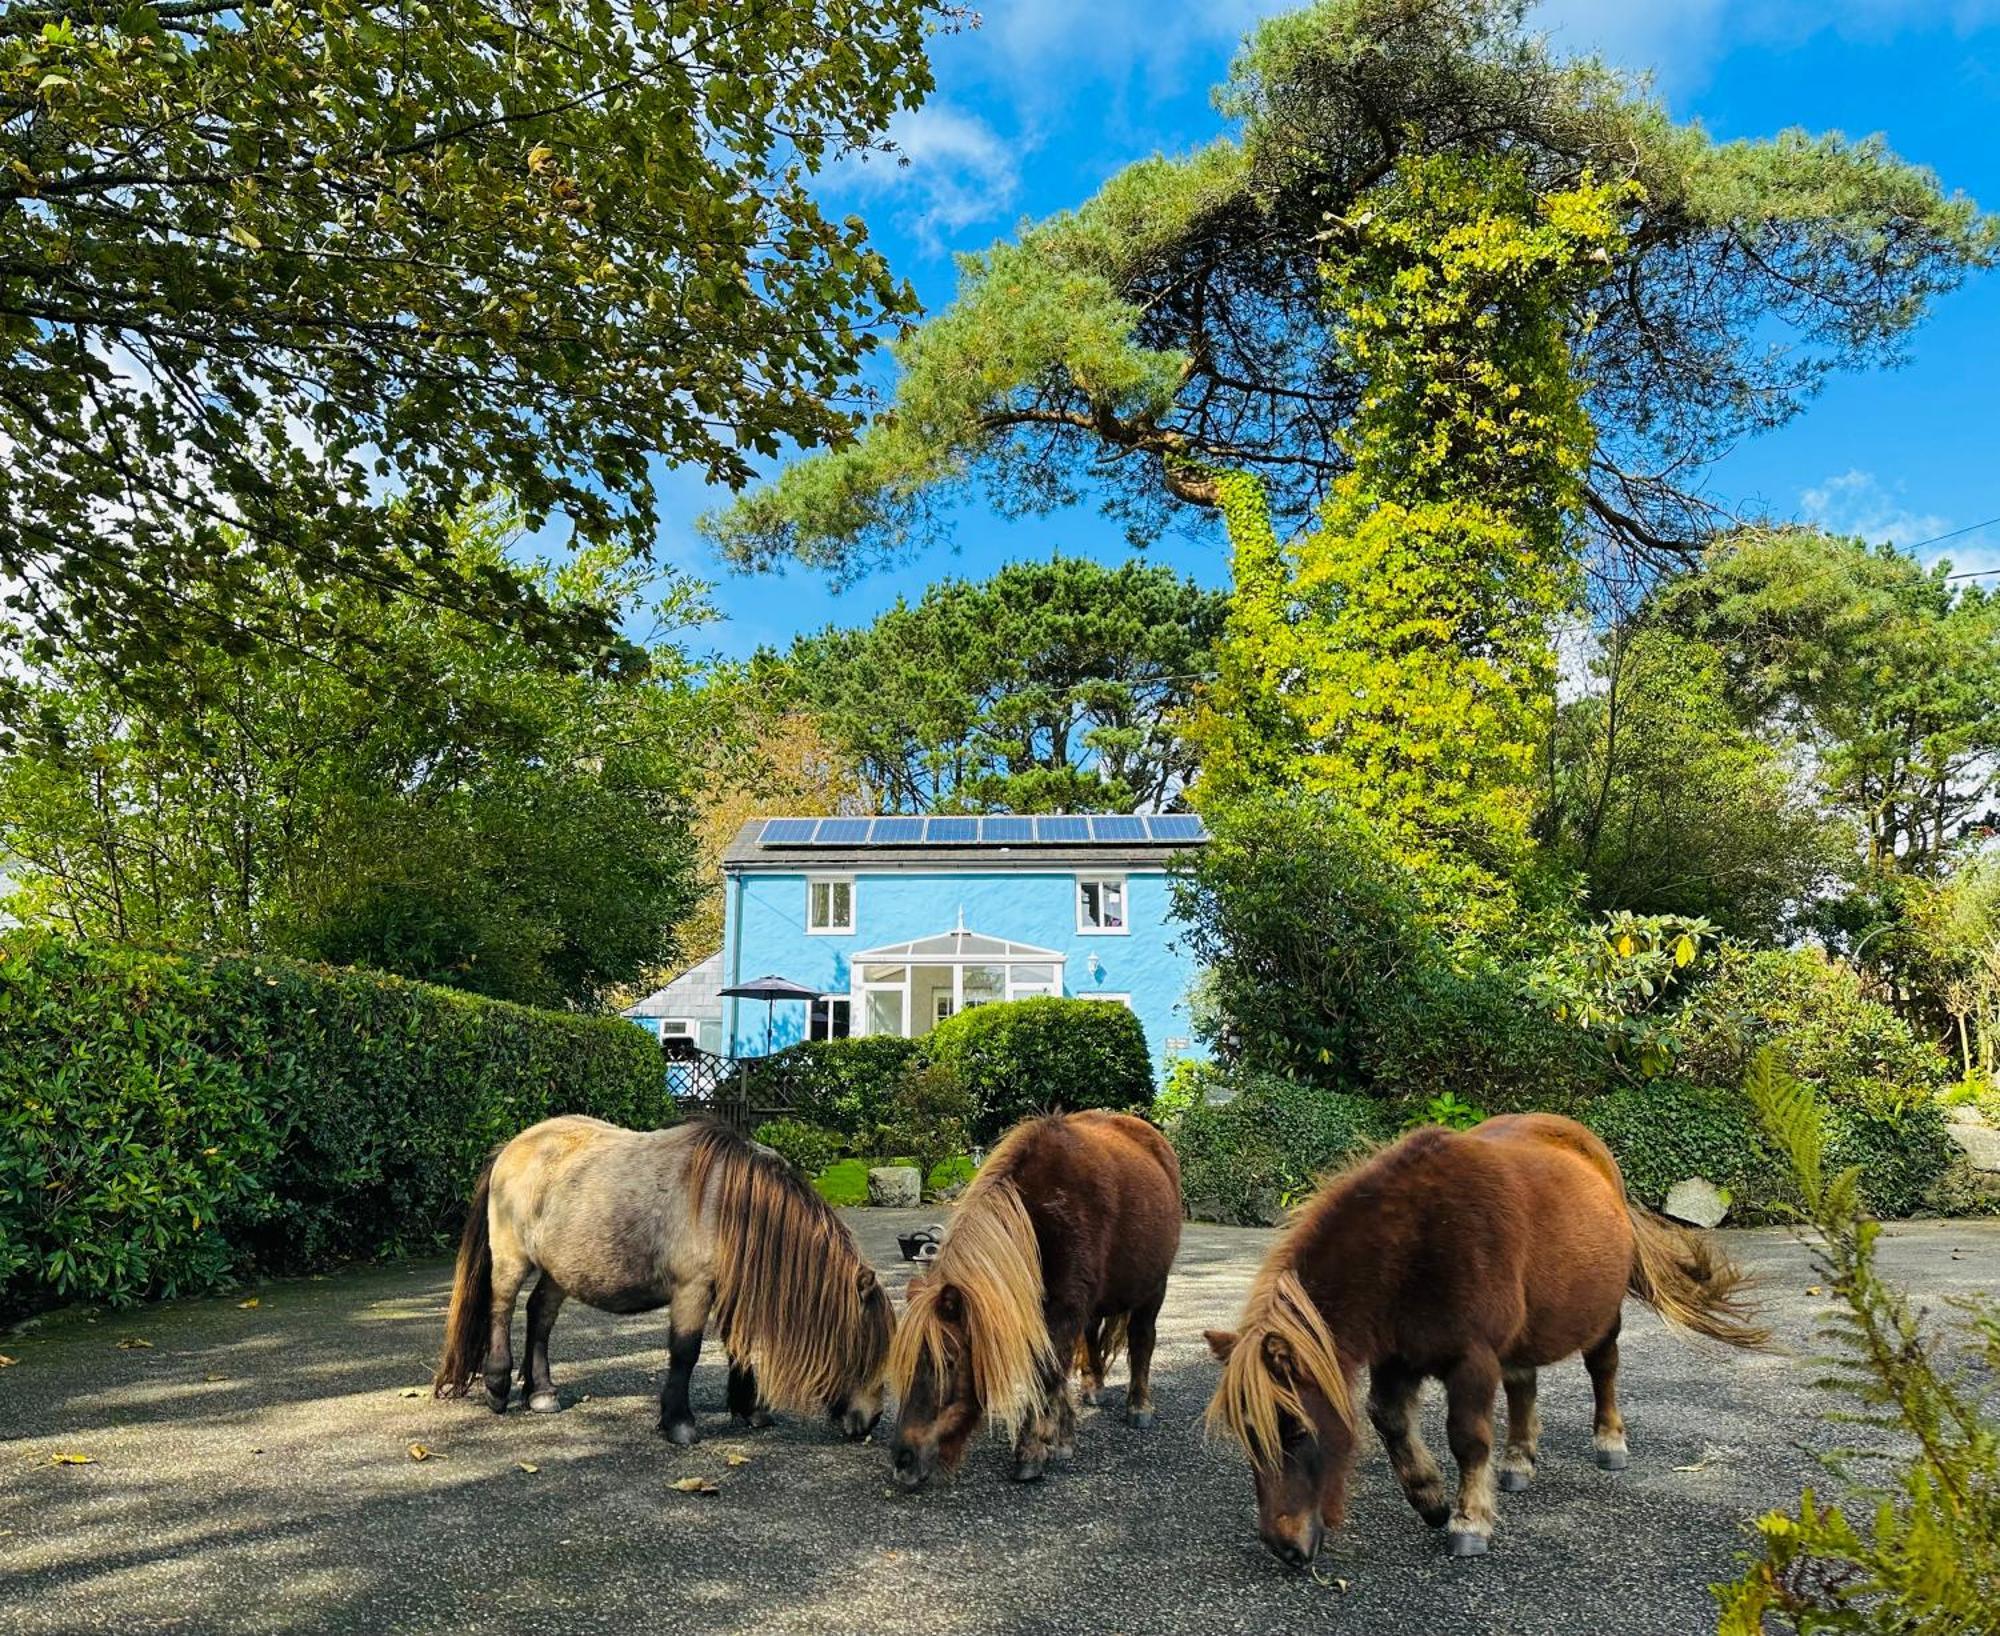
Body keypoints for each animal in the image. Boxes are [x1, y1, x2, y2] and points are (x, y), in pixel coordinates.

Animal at [884, 1104, 1176, 1488]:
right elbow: (1056, 1370)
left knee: (1142, 1339)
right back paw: (1093, 1386)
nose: (903, 1459)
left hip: (1153, 1289)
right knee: (1091, 1339)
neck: (1043, 1216)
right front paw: (1061, 1438)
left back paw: (1139, 1406)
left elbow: (1047, 1373)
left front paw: (1031, 1450)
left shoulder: (1065, 1310)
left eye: (947, 1360)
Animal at [1200, 1112, 1768, 1560]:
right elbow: (1388, 1419)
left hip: (1602, 1316)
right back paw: (1517, 1460)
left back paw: (1609, 1441)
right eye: (1247, 1436)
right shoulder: (1398, 1356)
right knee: (1522, 1385)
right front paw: (1430, 1497)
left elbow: (1468, 1438)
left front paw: (1468, 1520)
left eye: (1296, 1431)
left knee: (1602, 1368)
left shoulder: (1470, 1359)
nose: (1284, 1548)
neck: (1418, 1243)